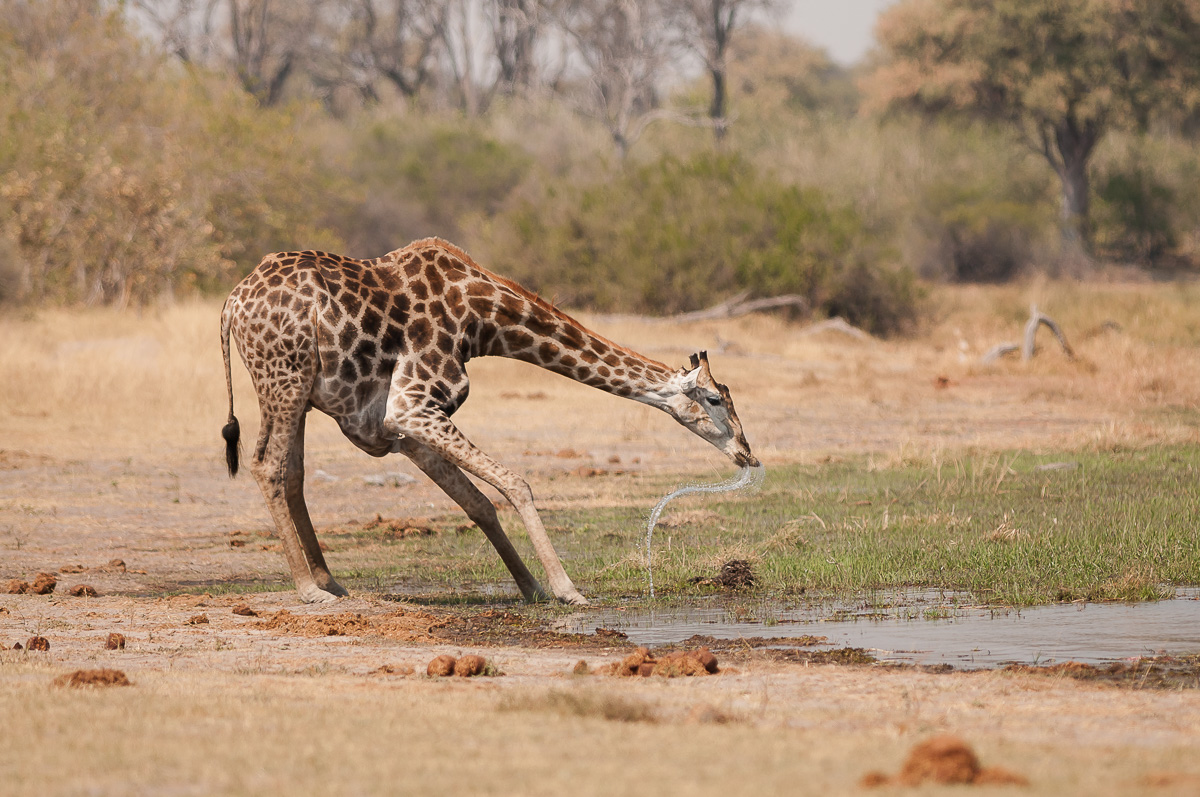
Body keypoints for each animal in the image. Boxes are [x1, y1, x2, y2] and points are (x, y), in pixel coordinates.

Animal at [220, 237, 757, 605]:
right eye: (715, 398)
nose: (747, 454)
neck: (484, 322)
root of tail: (230, 305)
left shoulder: (396, 427)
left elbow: (478, 503)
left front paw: (533, 587)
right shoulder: (411, 405)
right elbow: (517, 483)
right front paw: (568, 590)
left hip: (294, 390)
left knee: (290, 472)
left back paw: (330, 582)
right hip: (284, 378)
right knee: (267, 465)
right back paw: (308, 590)